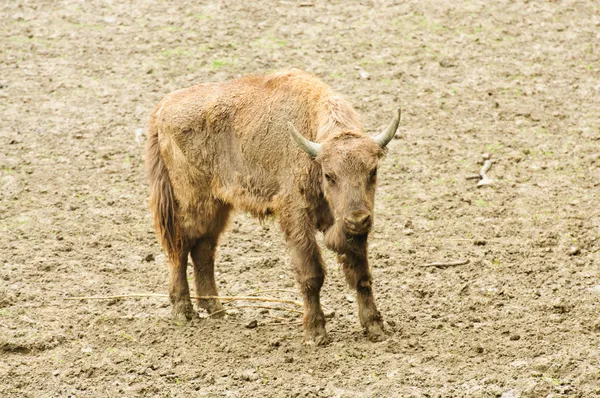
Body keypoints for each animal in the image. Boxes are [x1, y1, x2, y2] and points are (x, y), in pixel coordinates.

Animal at [145, 67, 398, 344]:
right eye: (329, 175)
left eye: (372, 171)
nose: (357, 218)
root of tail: (163, 107)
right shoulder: (297, 218)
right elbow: (311, 274)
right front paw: (316, 333)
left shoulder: (350, 229)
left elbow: (361, 273)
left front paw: (375, 327)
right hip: (191, 202)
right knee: (180, 247)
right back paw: (183, 312)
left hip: (218, 205)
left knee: (203, 250)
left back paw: (216, 310)